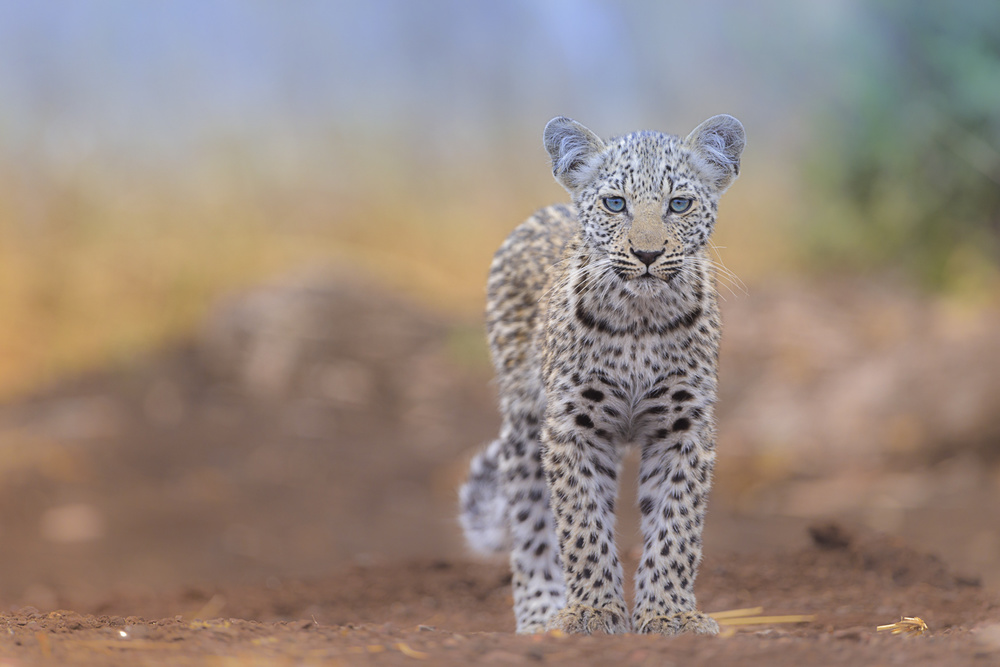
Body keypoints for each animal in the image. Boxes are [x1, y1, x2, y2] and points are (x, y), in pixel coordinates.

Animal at [459, 114, 745, 635]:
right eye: (616, 203)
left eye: (679, 204)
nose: (648, 254)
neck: (640, 318)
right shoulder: (574, 424)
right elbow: (581, 523)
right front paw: (593, 612)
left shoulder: (684, 425)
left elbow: (676, 525)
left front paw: (669, 614)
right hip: (525, 420)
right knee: (530, 516)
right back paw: (541, 614)